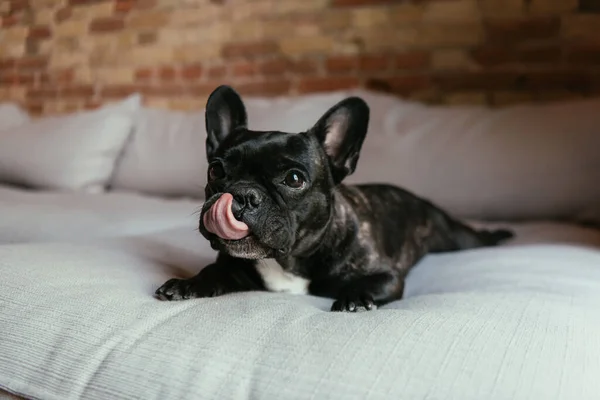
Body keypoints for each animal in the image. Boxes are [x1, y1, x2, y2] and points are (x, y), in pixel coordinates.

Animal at [155, 85, 510, 312]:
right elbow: (211, 272)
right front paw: (186, 283)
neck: (288, 261)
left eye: (294, 179)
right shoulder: (231, 266)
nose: (242, 193)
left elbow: (372, 284)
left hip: (456, 238)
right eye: (215, 170)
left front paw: (355, 298)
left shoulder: (387, 275)